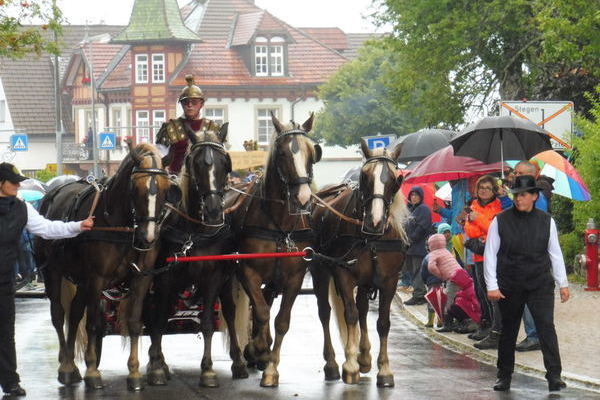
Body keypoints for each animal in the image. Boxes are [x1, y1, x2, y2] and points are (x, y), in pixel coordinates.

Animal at [36, 144, 176, 390]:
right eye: (135, 187)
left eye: (166, 188)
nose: (148, 236)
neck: (121, 226)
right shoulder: (97, 280)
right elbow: (93, 325)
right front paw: (93, 371)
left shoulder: (141, 278)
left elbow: (134, 323)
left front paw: (134, 373)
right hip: (53, 272)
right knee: (59, 315)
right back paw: (66, 367)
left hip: (81, 282)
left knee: (74, 314)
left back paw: (71, 365)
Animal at [143, 124, 248, 388]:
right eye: (196, 163)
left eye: (225, 163)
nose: (213, 210)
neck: (195, 231)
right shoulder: (165, 280)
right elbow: (158, 320)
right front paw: (156, 368)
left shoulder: (213, 278)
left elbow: (208, 323)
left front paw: (208, 370)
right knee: (153, 316)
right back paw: (157, 361)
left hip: (226, 282)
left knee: (230, 312)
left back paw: (239, 362)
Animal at [225, 112, 322, 388]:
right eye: (282, 154)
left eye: (312, 152)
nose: (303, 199)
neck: (280, 225)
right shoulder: (247, 272)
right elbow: (260, 312)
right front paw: (258, 350)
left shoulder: (294, 278)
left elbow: (281, 320)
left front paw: (270, 368)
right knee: (231, 311)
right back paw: (240, 360)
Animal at [310, 139, 408, 386]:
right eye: (365, 176)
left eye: (396, 179)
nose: (375, 221)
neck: (371, 237)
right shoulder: (343, 274)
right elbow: (350, 315)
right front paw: (350, 365)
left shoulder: (389, 281)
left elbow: (382, 322)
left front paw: (384, 370)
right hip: (320, 270)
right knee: (325, 312)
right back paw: (333, 364)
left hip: (365, 281)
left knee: (363, 308)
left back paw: (364, 356)